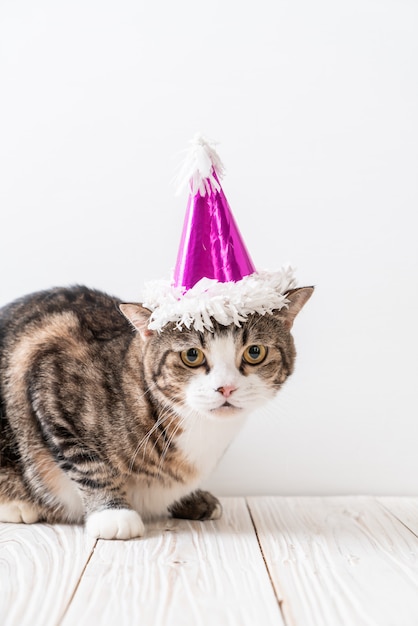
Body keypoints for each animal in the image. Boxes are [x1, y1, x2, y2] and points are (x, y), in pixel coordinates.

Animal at [0, 286, 314, 540]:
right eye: (191, 355)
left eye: (255, 352)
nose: (226, 388)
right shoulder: (51, 381)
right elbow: (88, 464)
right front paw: (112, 513)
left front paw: (191, 498)